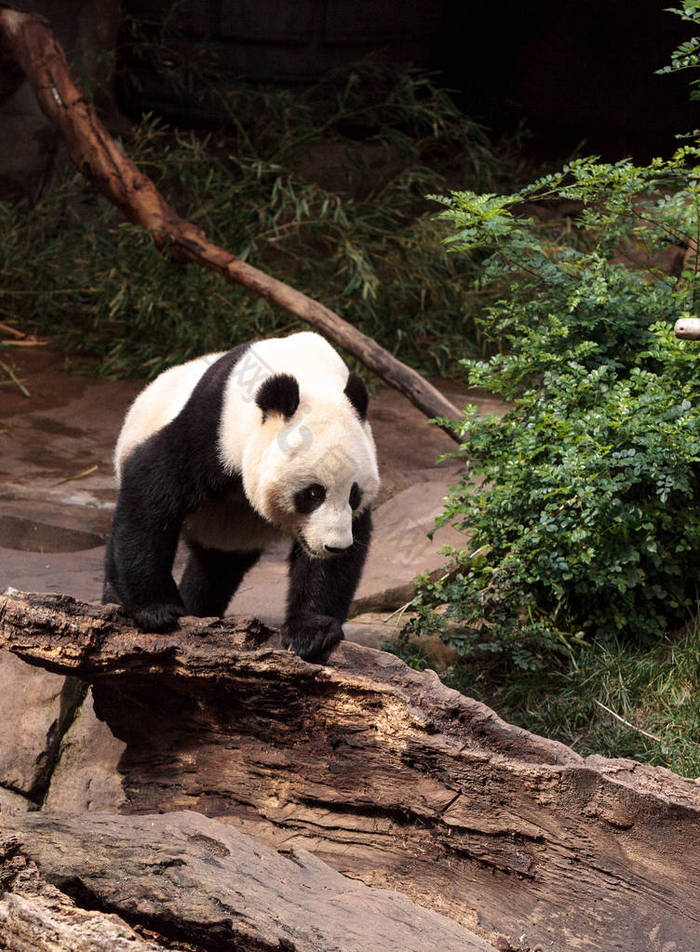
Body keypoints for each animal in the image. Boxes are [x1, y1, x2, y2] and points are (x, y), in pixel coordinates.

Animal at [101, 334, 380, 660]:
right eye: (313, 493)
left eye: (354, 494)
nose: (335, 546)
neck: (307, 372)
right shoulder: (212, 429)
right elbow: (152, 490)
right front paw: (156, 610)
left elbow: (340, 556)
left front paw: (311, 632)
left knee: (215, 571)